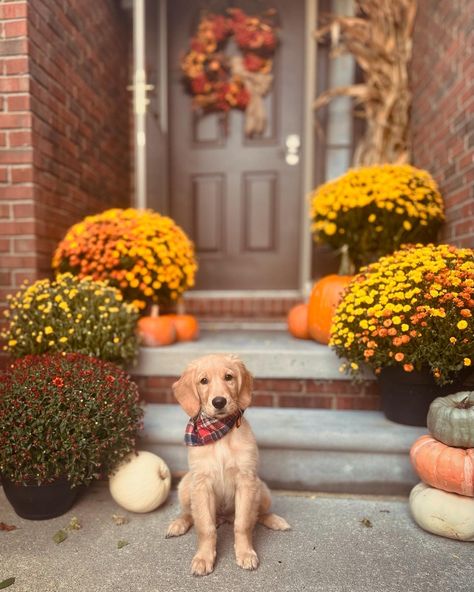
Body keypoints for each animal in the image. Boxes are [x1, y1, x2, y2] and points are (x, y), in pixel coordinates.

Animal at [167, 354, 288, 576]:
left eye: (229, 377)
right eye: (203, 381)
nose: (219, 401)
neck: (219, 433)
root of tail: (223, 517)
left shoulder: (246, 481)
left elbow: (243, 524)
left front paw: (246, 553)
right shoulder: (202, 484)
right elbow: (205, 527)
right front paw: (203, 558)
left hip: (262, 489)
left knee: (257, 514)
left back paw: (275, 520)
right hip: (186, 486)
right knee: (190, 514)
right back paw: (178, 524)